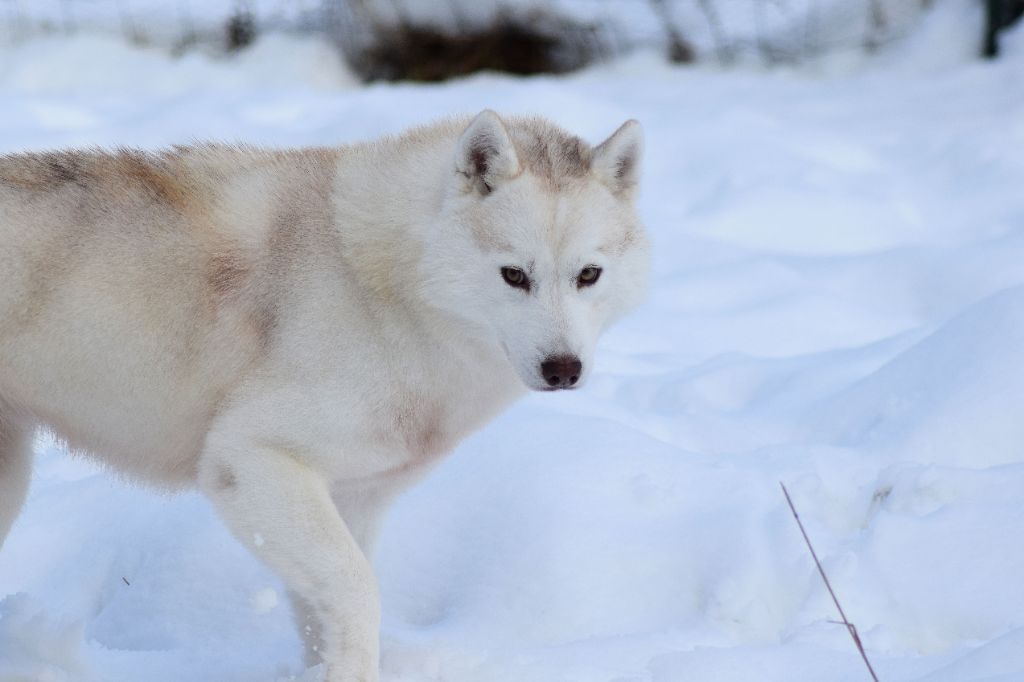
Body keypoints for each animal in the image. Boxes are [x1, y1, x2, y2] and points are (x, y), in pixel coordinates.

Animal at [2, 110, 647, 675]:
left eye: (588, 275)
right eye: (515, 275)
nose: (563, 368)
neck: (388, 288)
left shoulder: (355, 497)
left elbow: (325, 621)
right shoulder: (249, 462)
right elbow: (359, 589)